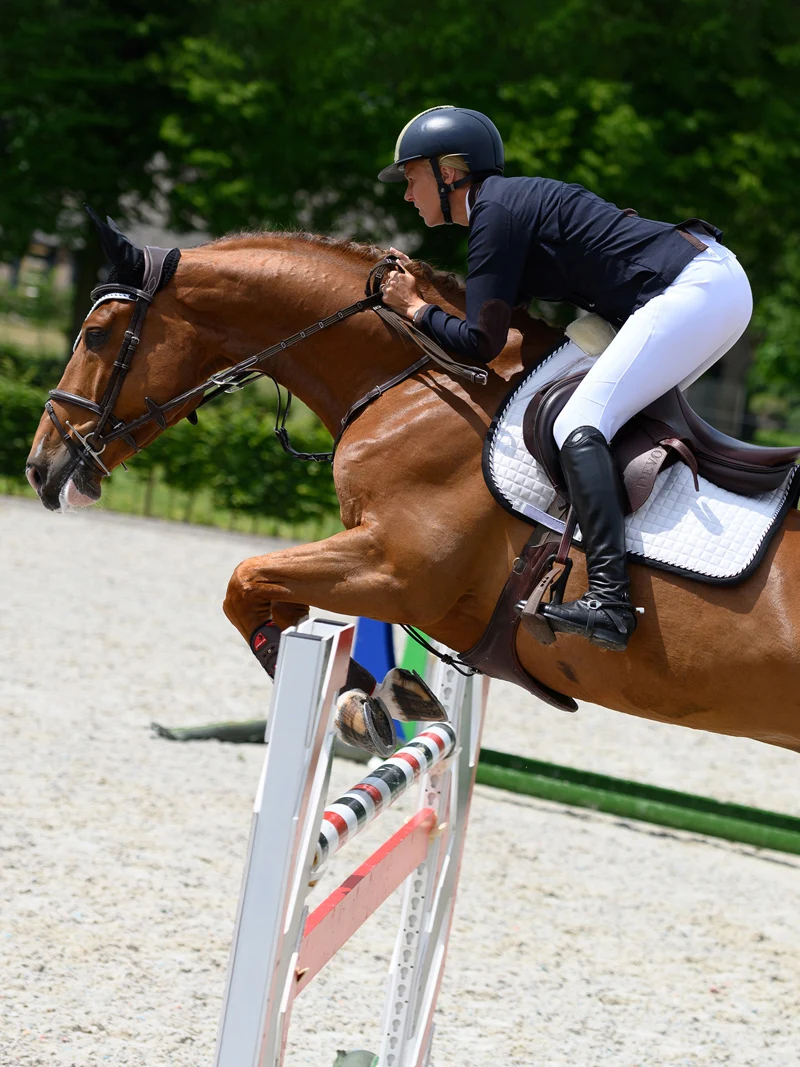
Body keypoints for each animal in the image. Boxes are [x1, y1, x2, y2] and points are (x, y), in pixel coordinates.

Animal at [25, 226, 800, 752]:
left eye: (96, 334)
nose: (40, 466)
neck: (416, 381)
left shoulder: (396, 568)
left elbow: (244, 580)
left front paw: (355, 706)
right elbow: (269, 594)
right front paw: (386, 696)